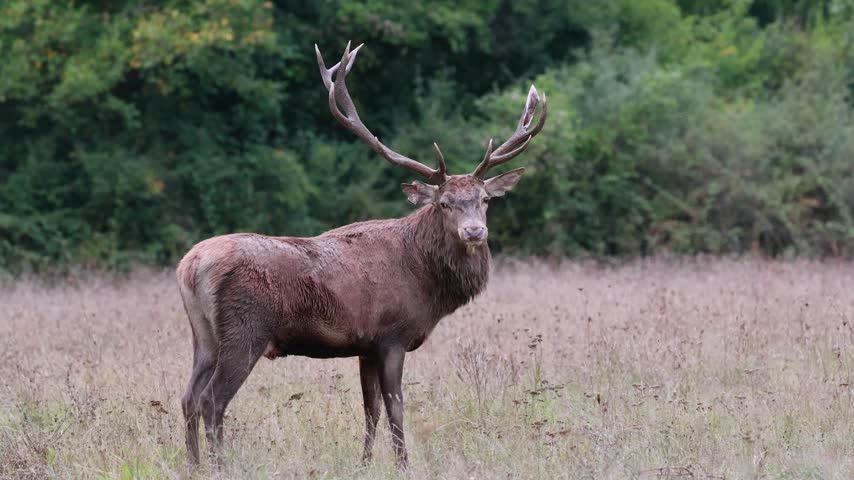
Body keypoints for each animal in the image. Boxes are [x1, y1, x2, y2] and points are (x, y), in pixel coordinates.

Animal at [176, 41, 546, 470]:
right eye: (443, 203)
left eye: (485, 200)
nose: (474, 231)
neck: (429, 285)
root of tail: (191, 266)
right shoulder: (391, 336)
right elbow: (396, 407)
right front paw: (404, 465)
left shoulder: (365, 346)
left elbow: (370, 409)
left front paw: (365, 463)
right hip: (245, 330)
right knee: (212, 400)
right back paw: (220, 466)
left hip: (203, 335)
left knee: (188, 397)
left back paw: (193, 465)